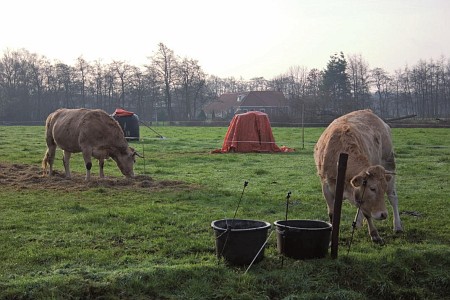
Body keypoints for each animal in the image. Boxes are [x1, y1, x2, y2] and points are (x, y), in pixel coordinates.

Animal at [312, 110, 404, 244]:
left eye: (382, 189)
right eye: (372, 188)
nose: (383, 214)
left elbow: (367, 212)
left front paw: (375, 235)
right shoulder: (326, 188)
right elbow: (332, 213)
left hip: (389, 164)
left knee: (393, 197)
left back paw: (397, 226)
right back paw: (358, 223)